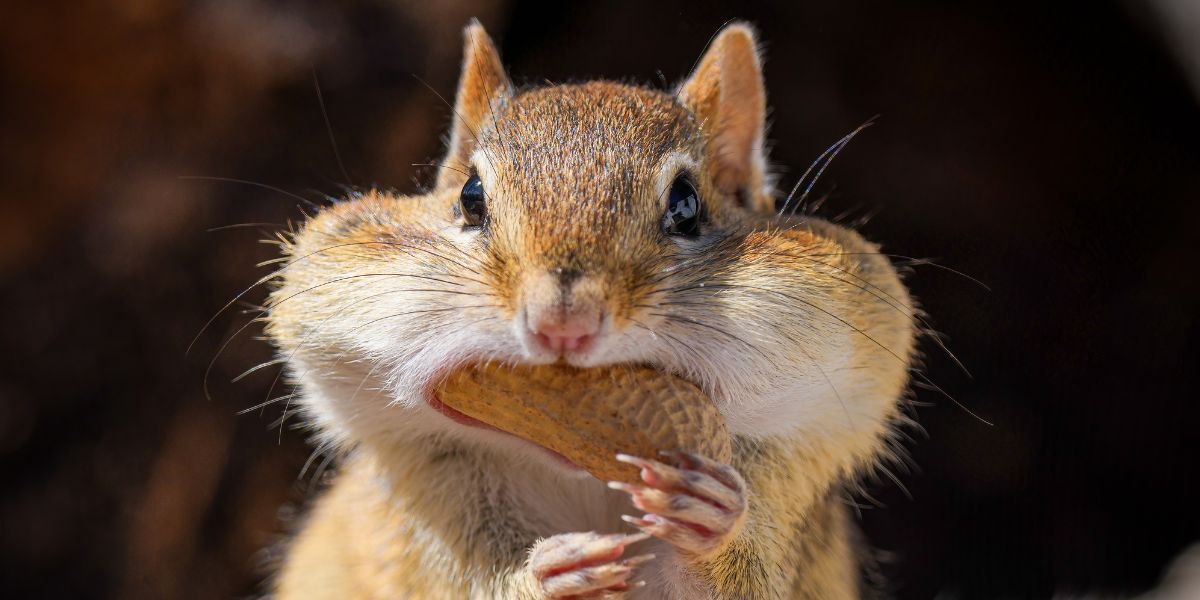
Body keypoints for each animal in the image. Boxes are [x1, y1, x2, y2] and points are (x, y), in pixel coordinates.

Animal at [264, 20, 916, 600]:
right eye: (470, 198)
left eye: (687, 206)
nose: (562, 325)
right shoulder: (429, 525)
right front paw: (545, 576)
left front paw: (712, 520)